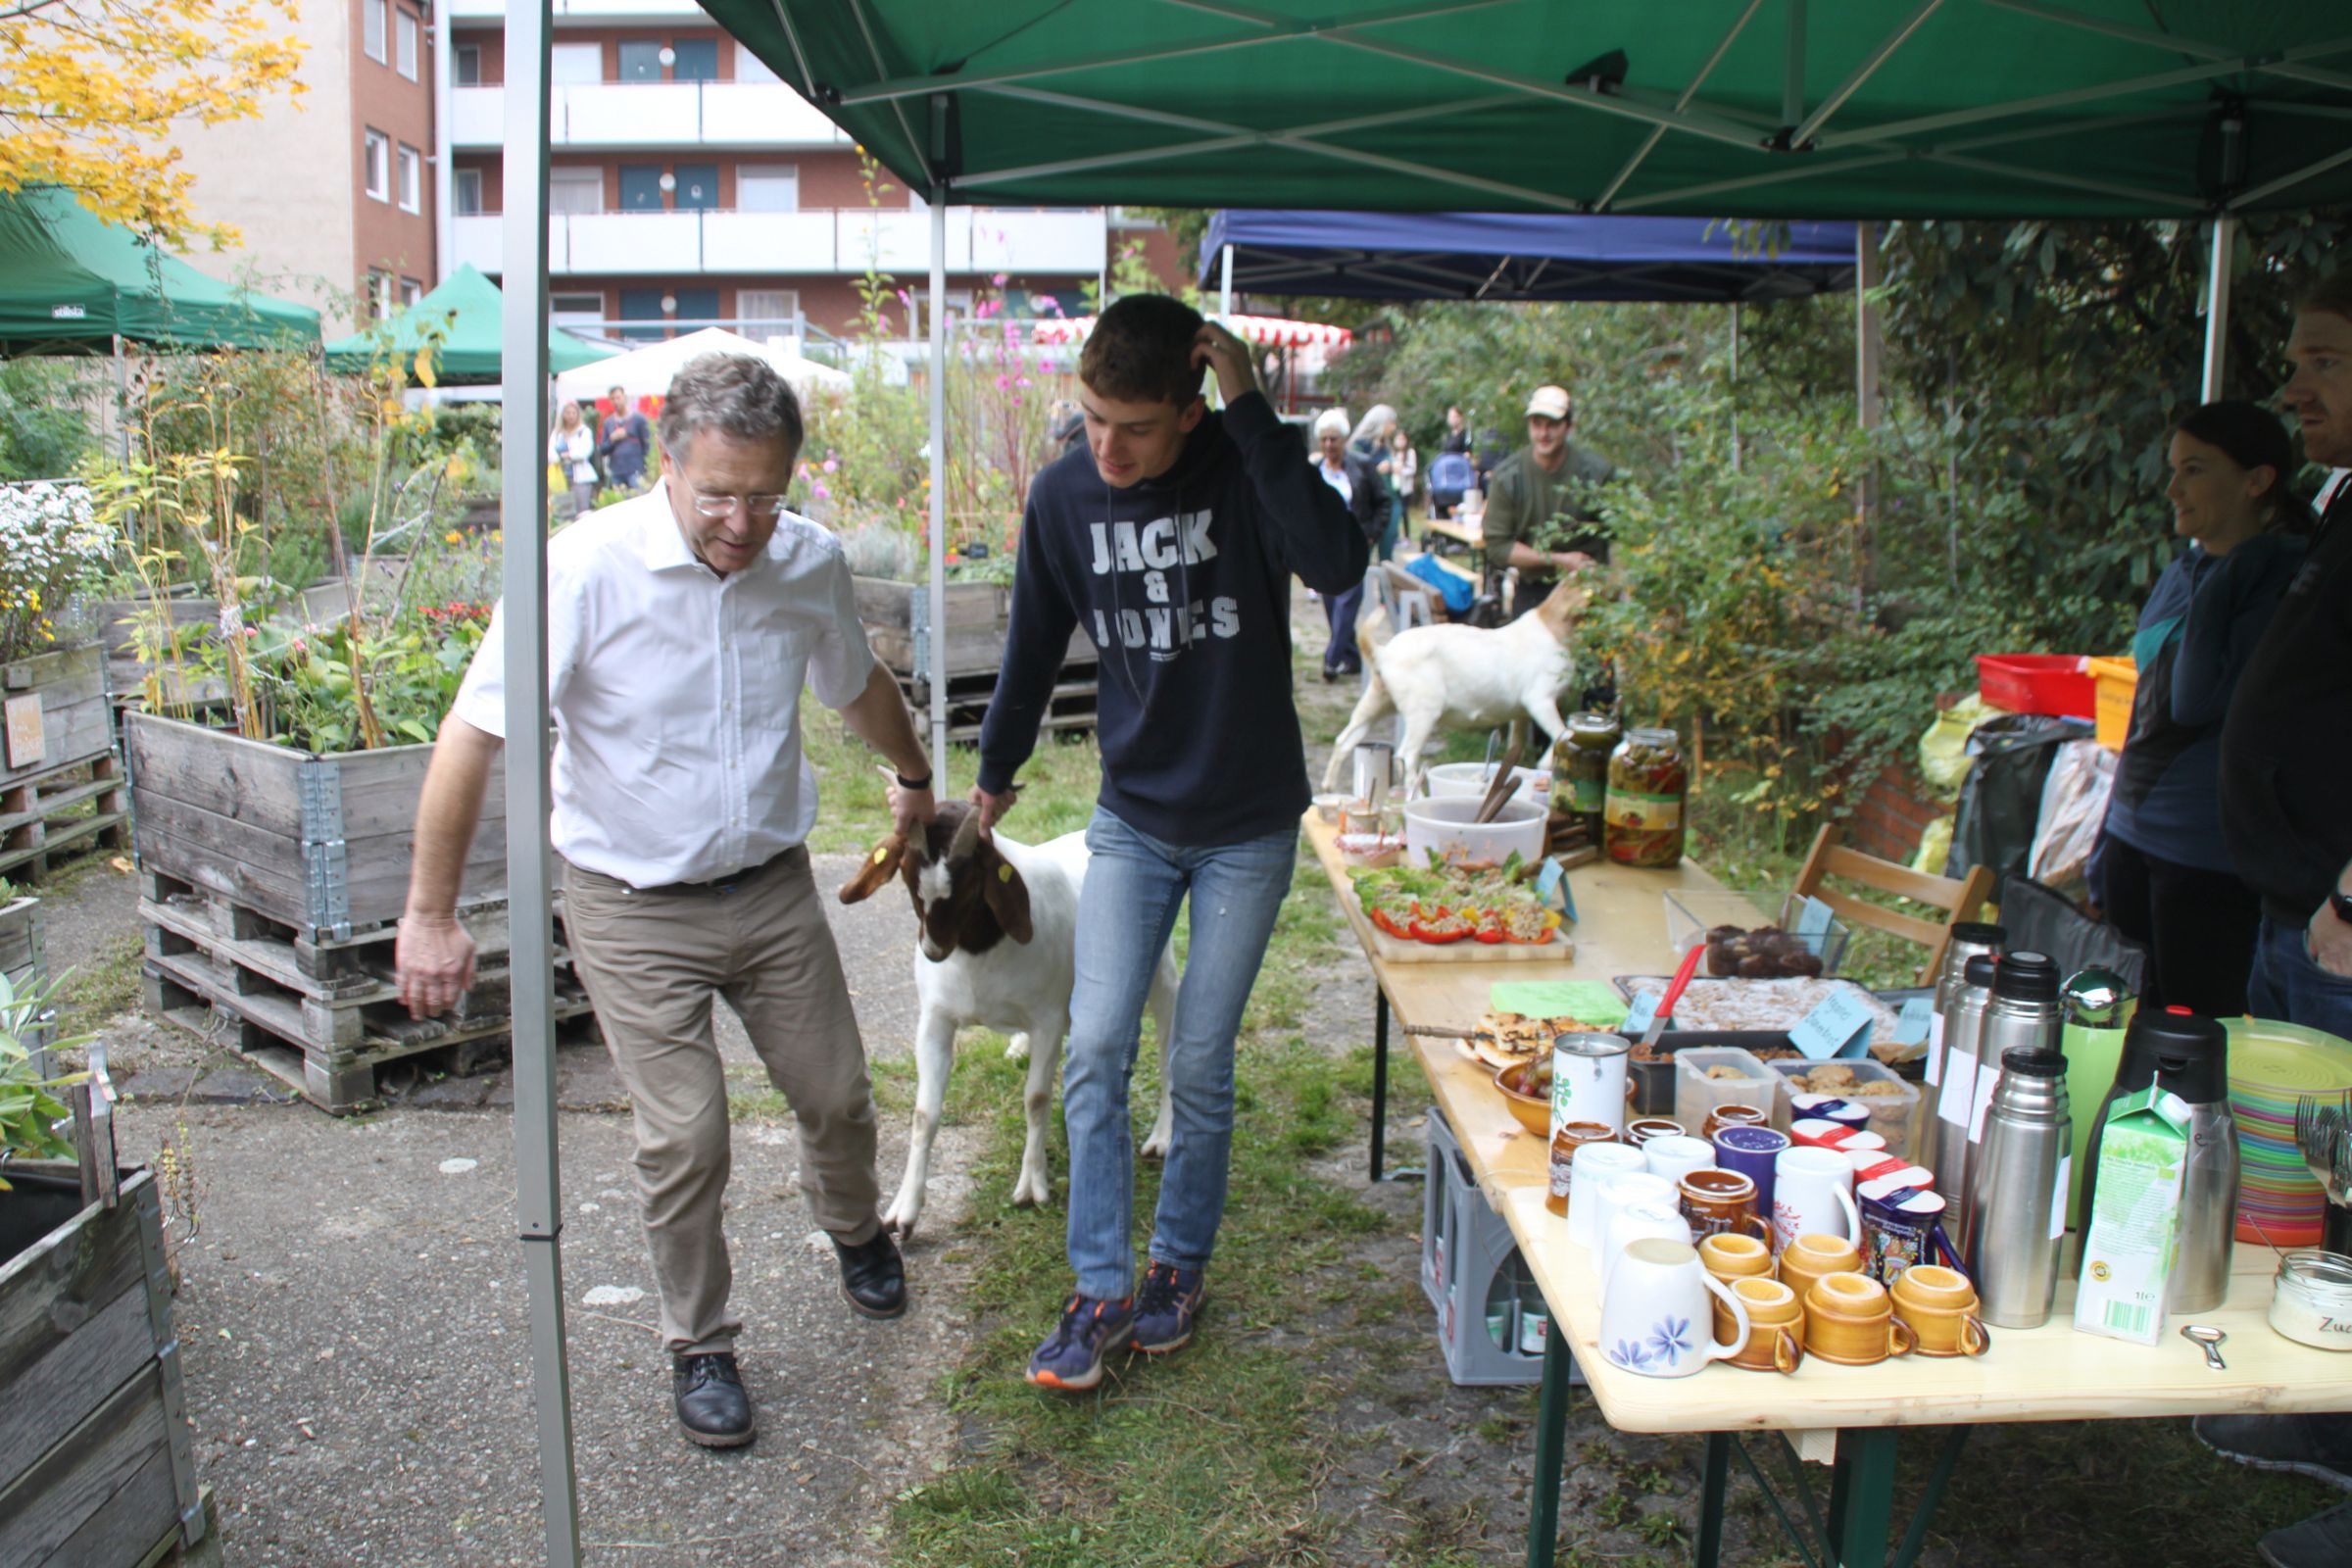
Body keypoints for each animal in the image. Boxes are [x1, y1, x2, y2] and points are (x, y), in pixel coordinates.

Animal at [842, 804, 1176, 1241]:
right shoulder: (935, 1019)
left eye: (970, 882)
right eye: (908, 876)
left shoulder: (1048, 1020)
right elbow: (924, 1114)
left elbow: (1036, 1098)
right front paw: (904, 1209)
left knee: (1169, 1045)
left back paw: (1162, 1136)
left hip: (1159, 973)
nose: (934, 950)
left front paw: (1032, 1185)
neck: (978, 951)